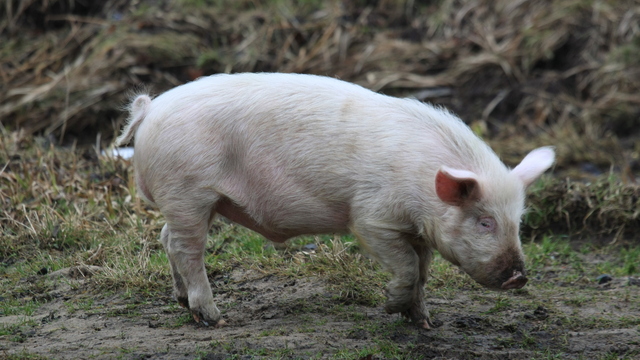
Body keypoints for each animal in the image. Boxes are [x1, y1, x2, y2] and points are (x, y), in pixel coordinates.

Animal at [116, 73, 556, 330]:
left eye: (518, 222)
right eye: (484, 221)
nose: (519, 276)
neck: (423, 188)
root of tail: (150, 108)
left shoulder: (421, 232)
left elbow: (423, 272)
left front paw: (424, 322)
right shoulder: (372, 218)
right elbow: (407, 267)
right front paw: (391, 309)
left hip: (190, 201)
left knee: (165, 237)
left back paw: (181, 303)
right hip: (188, 190)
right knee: (185, 249)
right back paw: (212, 319)